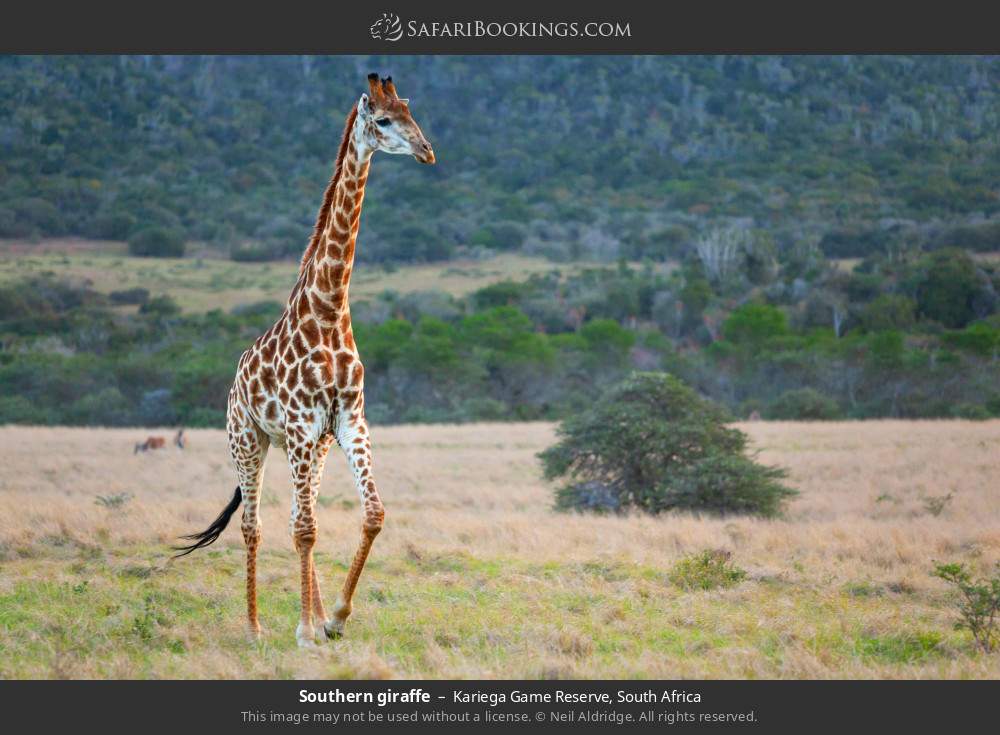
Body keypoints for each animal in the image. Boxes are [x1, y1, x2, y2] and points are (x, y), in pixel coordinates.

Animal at [174, 74, 435, 647]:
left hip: (313, 449)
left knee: (298, 511)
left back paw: (311, 619)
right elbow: (303, 529)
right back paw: (254, 629)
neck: (329, 309)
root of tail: (234, 381)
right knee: (255, 525)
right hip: (248, 440)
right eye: (383, 120)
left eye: (412, 112)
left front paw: (333, 618)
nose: (428, 151)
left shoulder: (347, 421)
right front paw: (304, 629)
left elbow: (372, 514)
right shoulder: (296, 425)